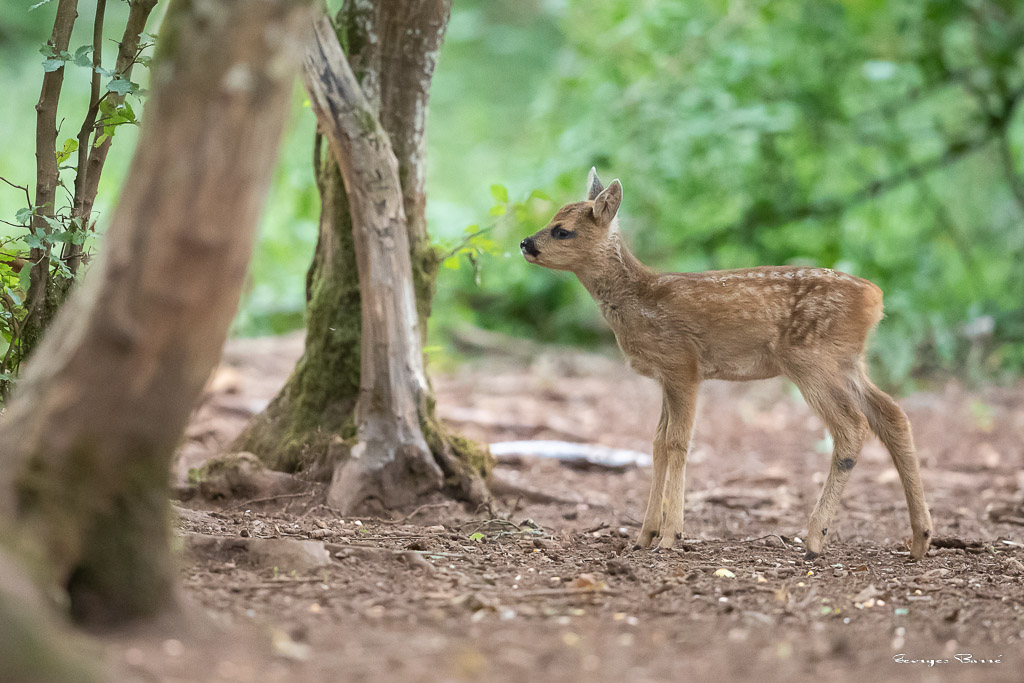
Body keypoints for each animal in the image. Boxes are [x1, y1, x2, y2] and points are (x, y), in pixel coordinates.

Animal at [519, 169, 933, 560]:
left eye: (562, 230)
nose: (525, 243)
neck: (640, 299)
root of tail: (876, 298)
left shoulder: (683, 363)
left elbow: (677, 442)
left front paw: (670, 537)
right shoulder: (665, 376)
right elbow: (657, 442)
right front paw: (643, 536)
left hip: (811, 358)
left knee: (852, 427)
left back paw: (815, 539)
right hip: (848, 362)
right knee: (892, 414)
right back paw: (920, 539)